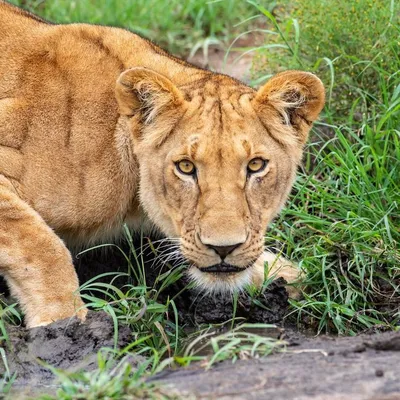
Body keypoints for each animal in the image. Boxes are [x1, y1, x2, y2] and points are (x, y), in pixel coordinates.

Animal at [0, 0, 324, 328]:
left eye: (256, 165)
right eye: (186, 167)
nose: (224, 248)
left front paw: (284, 273)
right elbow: (42, 245)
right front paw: (64, 324)